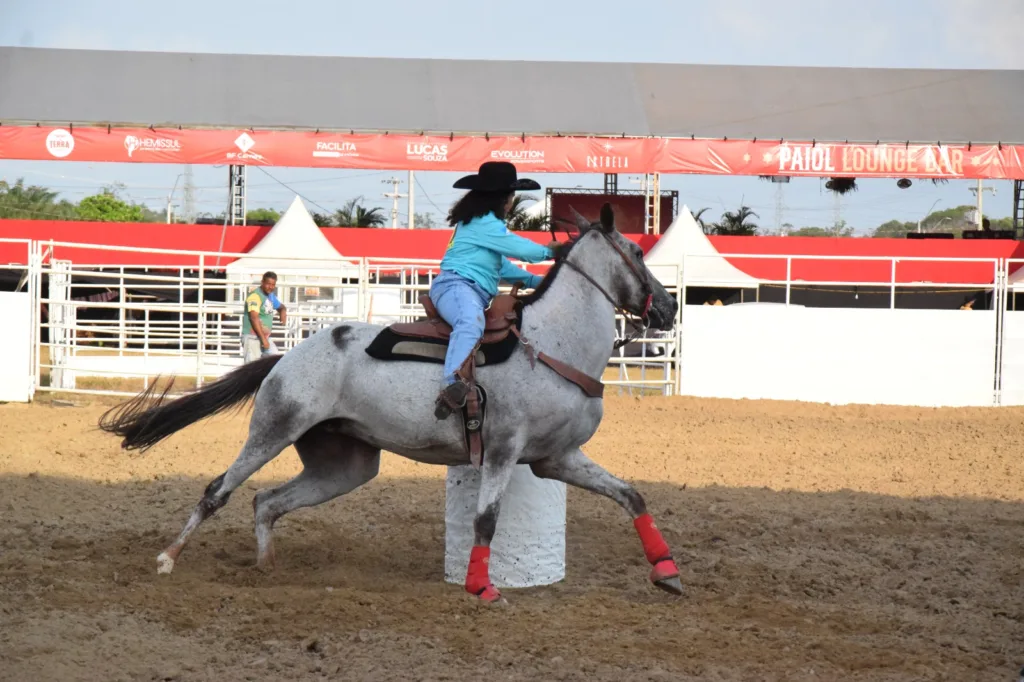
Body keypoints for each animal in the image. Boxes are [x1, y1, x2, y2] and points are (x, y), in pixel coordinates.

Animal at [99, 201, 684, 602]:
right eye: (636, 251)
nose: (670, 307)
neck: (552, 343)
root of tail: (287, 356)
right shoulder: (501, 452)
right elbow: (485, 521)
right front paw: (481, 588)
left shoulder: (555, 458)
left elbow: (632, 496)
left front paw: (667, 572)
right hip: (272, 431)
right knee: (218, 490)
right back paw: (168, 558)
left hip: (344, 465)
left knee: (266, 501)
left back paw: (266, 568)